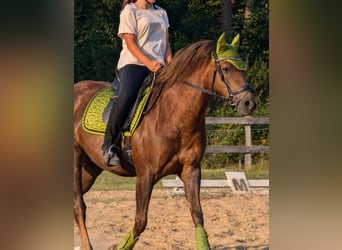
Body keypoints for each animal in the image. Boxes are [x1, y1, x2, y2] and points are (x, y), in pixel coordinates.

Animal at [74, 33, 256, 250]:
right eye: (227, 69)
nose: (250, 103)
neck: (174, 115)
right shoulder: (145, 175)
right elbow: (140, 221)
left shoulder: (190, 170)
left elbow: (197, 215)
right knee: (78, 206)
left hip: (90, 167)